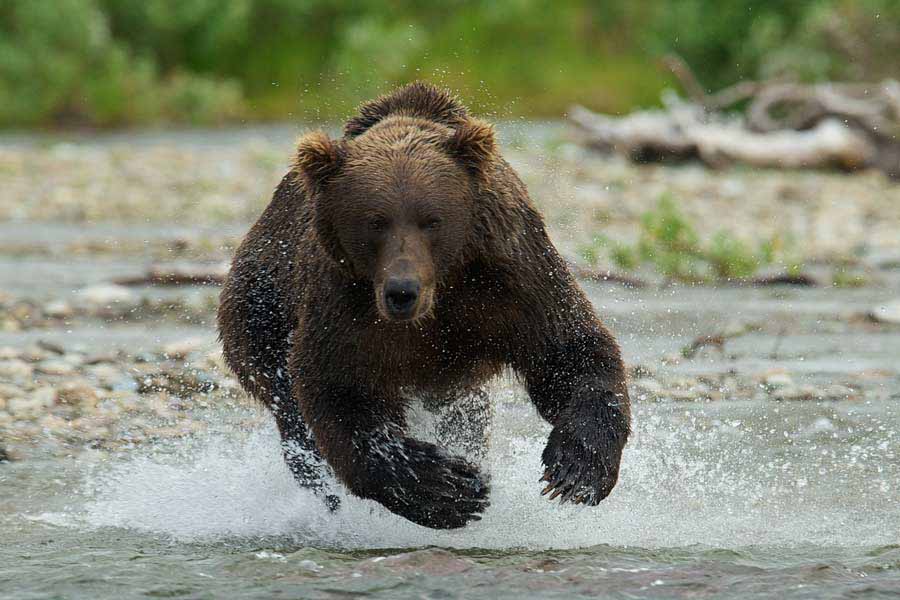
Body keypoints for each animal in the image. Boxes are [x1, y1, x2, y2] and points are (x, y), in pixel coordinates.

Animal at [218, 83, 628, 528]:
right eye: (375, 221)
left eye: (432, 220)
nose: (402, 290)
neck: (441, 293)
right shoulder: (344, 303)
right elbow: (341, 392)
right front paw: (450, 488)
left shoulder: (512, 278)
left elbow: (567, 351)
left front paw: (575, 470)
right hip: (260, 316)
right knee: (295, 420)